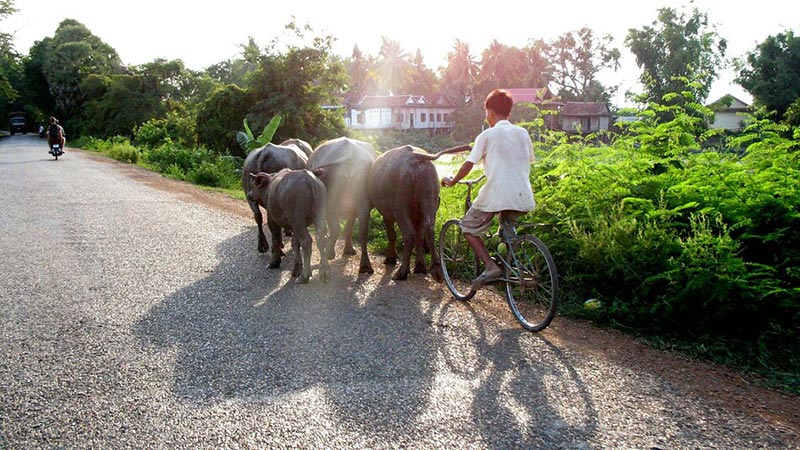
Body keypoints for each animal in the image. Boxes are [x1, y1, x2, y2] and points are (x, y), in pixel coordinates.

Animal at [310, 136, 378, 274]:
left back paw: (329, 253)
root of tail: (348, 155)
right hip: (362, 201)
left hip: (331, 201)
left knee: (335, 228)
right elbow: (349, 227)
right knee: (363, 231)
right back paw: (365, 265)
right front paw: (348, 249)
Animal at [368, 145, 444, 282]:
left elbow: (391, 234)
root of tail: (414, 156)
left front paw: (391, 258)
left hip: (400, 206)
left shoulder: (387, 214)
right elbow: (419, 236)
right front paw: (419, 265)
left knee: (408, 233)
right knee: (428, 228)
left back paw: (401, 272)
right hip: (430, 196)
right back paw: (434, 269)